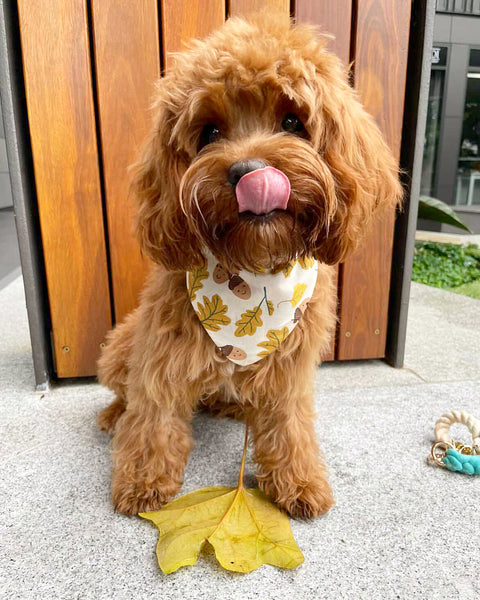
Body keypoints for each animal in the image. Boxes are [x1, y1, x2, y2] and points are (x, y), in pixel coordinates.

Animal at [96, 14, 402, 520]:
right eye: (209, 132)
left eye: (293, 121)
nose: (249, 172)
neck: (254, 272)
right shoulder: (162, 352)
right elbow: (153, 414)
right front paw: (143, 481)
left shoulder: (291, 365)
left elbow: (289, 423)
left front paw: (298, 480)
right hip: (121, 345)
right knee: (127, 396)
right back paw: (114, 415)